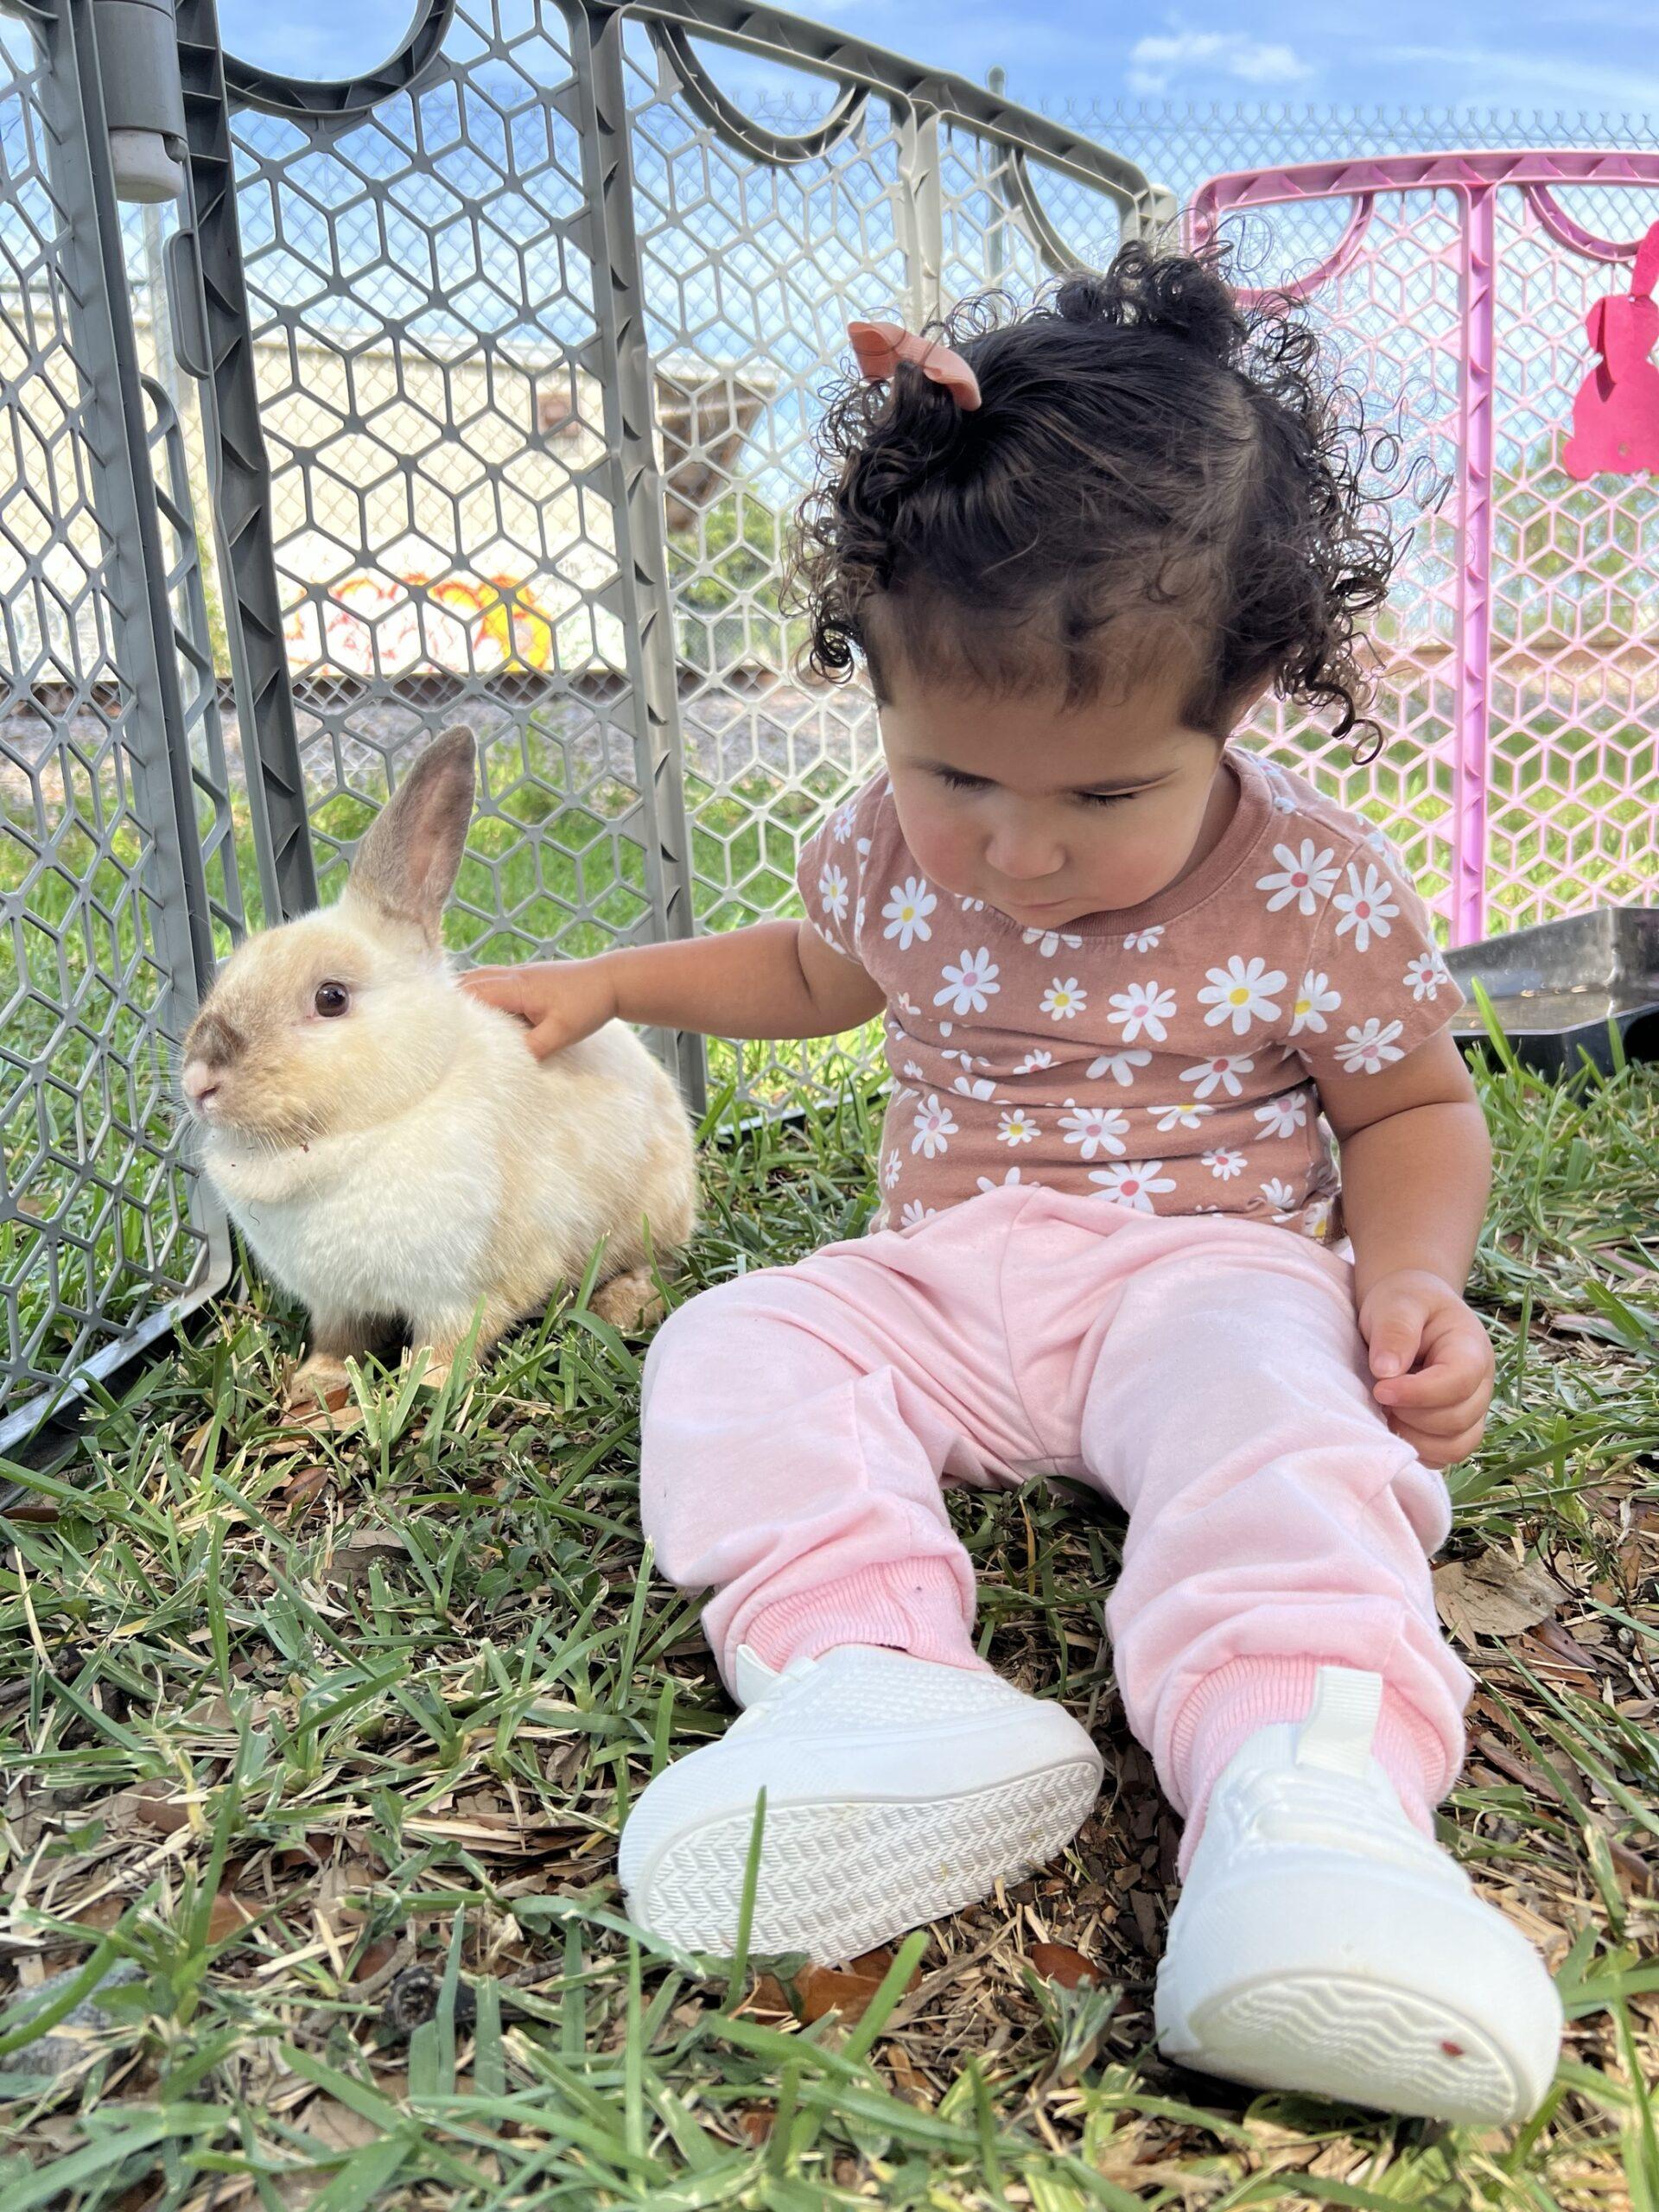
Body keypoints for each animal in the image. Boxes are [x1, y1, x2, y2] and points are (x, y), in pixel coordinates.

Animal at [179, 734, 698, 1407]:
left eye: (331, 998)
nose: (198, 1082)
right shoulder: (336, 1304)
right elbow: (338, 1343)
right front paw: (313, 1392)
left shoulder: (466, 1294)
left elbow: (447, 1348)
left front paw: (419, 1395)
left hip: (650, 1216)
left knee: (661, 1265)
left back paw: (621, 1306)